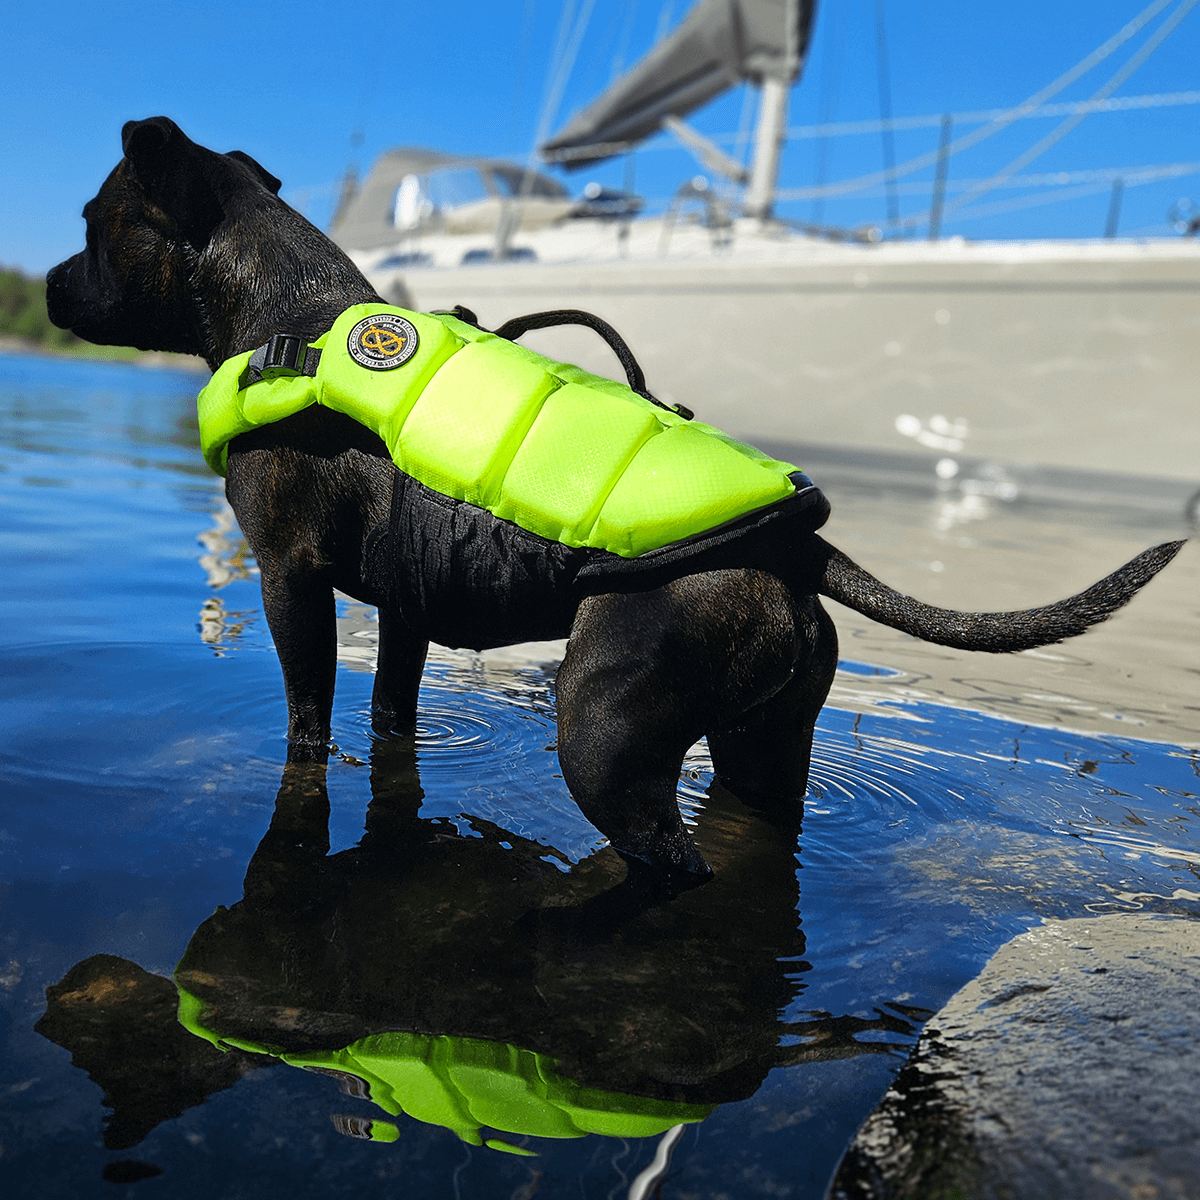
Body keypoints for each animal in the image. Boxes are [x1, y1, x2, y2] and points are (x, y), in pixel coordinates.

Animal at [44, 117, 1180, 878]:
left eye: (97, 224)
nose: (48, 284)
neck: (296, 318)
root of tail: (798, 549)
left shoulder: (290, 579)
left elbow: (307, 720)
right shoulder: (404, 609)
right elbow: (391, 713)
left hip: (600, 724)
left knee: (668, 863)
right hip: (762, 744)